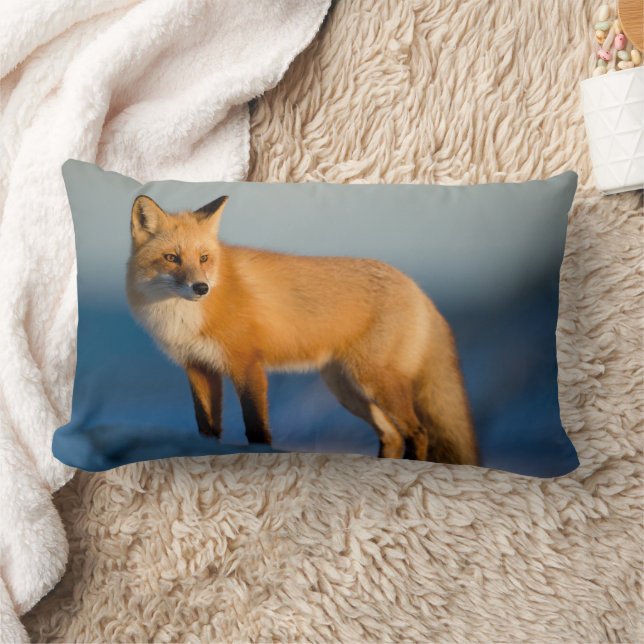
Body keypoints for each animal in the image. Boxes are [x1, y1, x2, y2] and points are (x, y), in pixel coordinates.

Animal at [125, 194, 478, 465]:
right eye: (171, 258)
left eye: (204, 258)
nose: (201, 288)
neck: (184, 317)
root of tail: (417, 288)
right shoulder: (199, 367)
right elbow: (207, 428)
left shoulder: (247, 365)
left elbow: (256, 428)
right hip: (347, 390)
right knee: (392, 436)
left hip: (375, 381)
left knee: (418, 432)